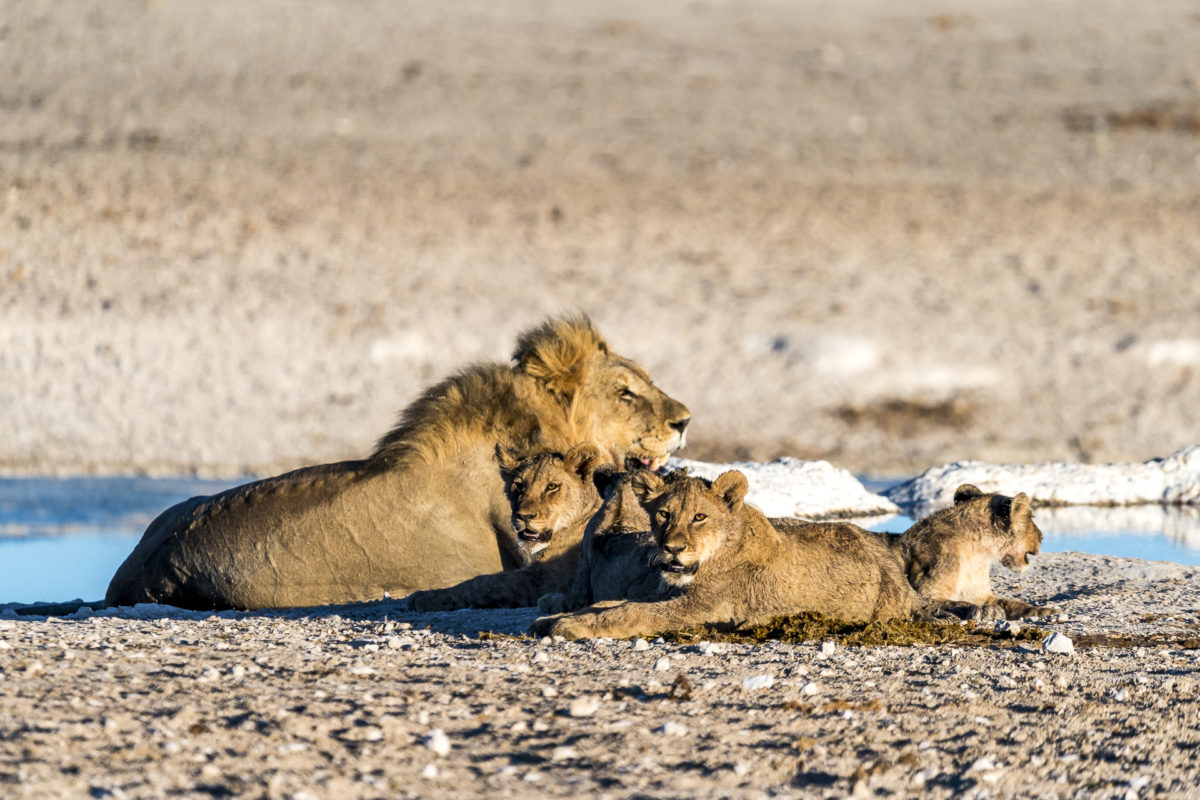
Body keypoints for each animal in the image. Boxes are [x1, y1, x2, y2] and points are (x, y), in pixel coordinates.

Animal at [405, 443, 609, 614]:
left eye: (552, 486)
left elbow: (482, 584)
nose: (524, 516)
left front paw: (423, 598)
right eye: (519, 485)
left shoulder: (547, 579)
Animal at [530, 470, 912, 638]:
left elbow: (630, 612)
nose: (672, 548)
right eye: (663, 514)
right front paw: (554, 618)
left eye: (699, 517)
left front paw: (568, 625)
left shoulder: (699, 609)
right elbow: (610, 603)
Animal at [888, 482, 1056, 618]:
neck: (978, 552)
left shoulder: (981, 594)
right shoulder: (926, 594)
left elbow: (1012, 603)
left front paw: (1046, 611)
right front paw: (987, 610)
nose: (1042, 537)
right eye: (1031, 517)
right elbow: (958, 603)